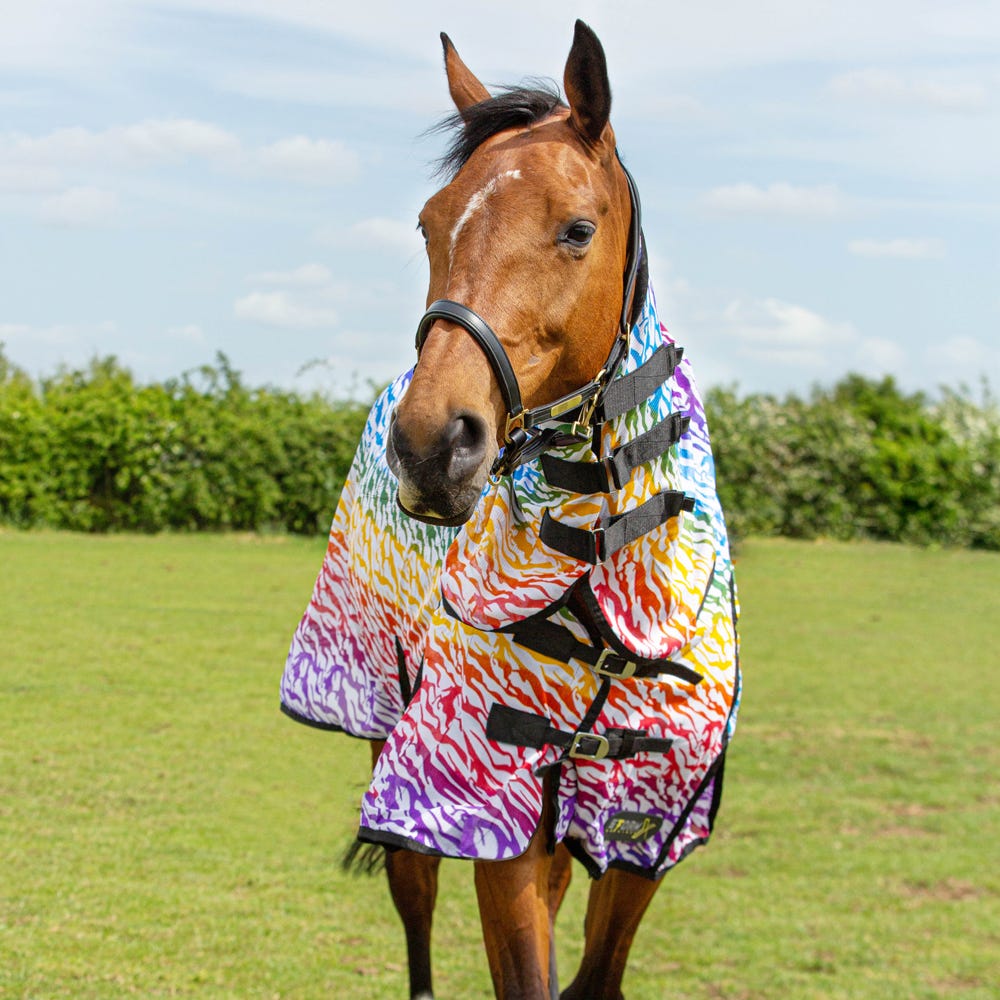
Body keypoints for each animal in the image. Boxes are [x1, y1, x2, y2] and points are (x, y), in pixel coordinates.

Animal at [278, 23, 740, 1000]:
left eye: (577, 229)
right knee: (414, 913)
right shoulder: (488, 796)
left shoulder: (644, 828)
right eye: (429, 224)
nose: (430, 444)